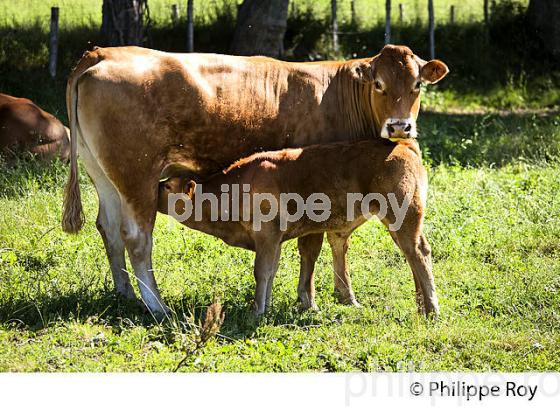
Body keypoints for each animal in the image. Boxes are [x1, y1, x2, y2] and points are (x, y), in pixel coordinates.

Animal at [158, 139, 438, 318]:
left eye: (168, 186)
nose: (154, 187)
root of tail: (403, 145)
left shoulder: (267, 235)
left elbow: (261, 271)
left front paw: (257, 311)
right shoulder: (274, 240)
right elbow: (271, 271)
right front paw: (266, 306)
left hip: (404, 216)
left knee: (419, 252)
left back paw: (432, 310)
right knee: (411, 256)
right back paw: (421, 307)